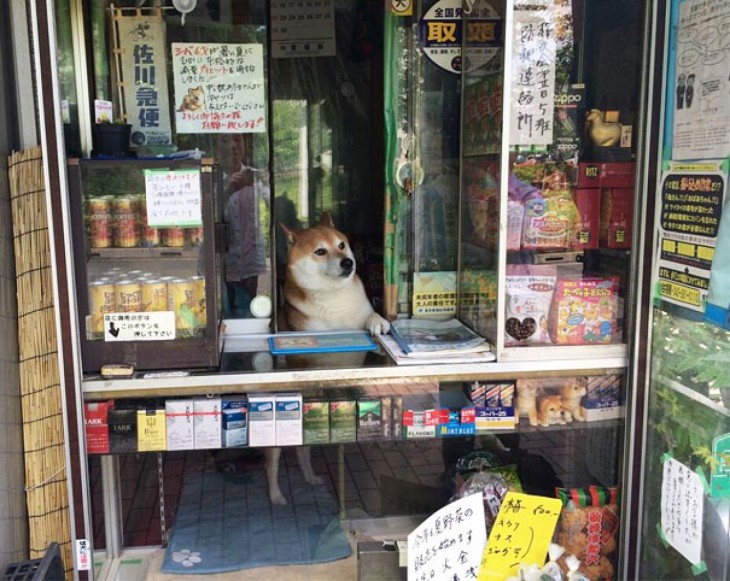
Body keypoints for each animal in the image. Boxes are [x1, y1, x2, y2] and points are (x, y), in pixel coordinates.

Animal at [264, 212, 386, 502]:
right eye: (320, 251)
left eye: (341, 245)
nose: (348, 262)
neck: (336, 299)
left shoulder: (360, 316)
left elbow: (372, 317)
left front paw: (379, 323)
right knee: (271, 460)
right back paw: (275, 495)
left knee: (302, 449)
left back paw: (309, 477)